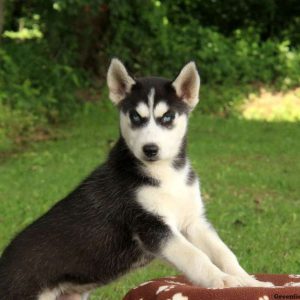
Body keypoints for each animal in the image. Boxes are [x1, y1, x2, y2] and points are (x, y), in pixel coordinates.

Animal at [0, 59, 274, 298]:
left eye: (167, 117)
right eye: (135, 117)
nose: (149, 149)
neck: (166, 174)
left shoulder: (194, 221)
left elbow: (223, 252)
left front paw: (250, 281)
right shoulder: (151, 226)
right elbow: (195, 256)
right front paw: (223, 280)